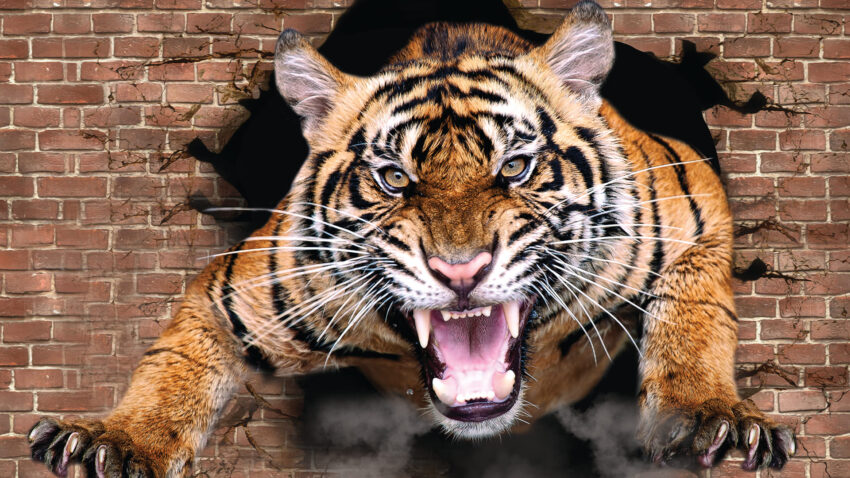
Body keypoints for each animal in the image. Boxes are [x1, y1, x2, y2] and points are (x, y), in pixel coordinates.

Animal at [28, 2, 796, 477]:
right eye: (394, 178)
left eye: (514, 167)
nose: (461, 271)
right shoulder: (229, 292)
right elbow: (171, 370)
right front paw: (116, 441)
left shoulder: (694, 196)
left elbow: (696, 317)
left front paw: (710, 418)